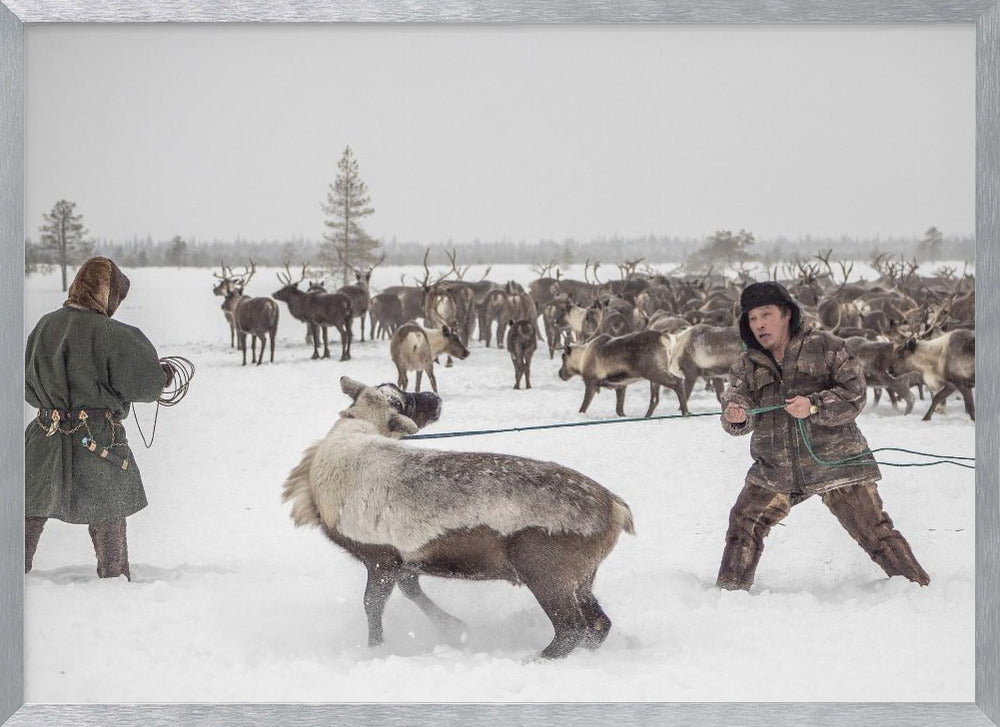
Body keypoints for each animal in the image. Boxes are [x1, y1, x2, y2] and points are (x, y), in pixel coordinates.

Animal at [281, 376, 635, 660]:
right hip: (582, 578)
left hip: (548, 574)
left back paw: (535, 659)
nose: (435, 398)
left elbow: (372, 605)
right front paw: (453, 627)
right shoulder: (405, 559)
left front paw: (377, 649)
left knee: (572, 628)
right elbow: (411, 590)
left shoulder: (380, 557)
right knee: (598, 624)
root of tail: (618, 510)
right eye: (402, 396)